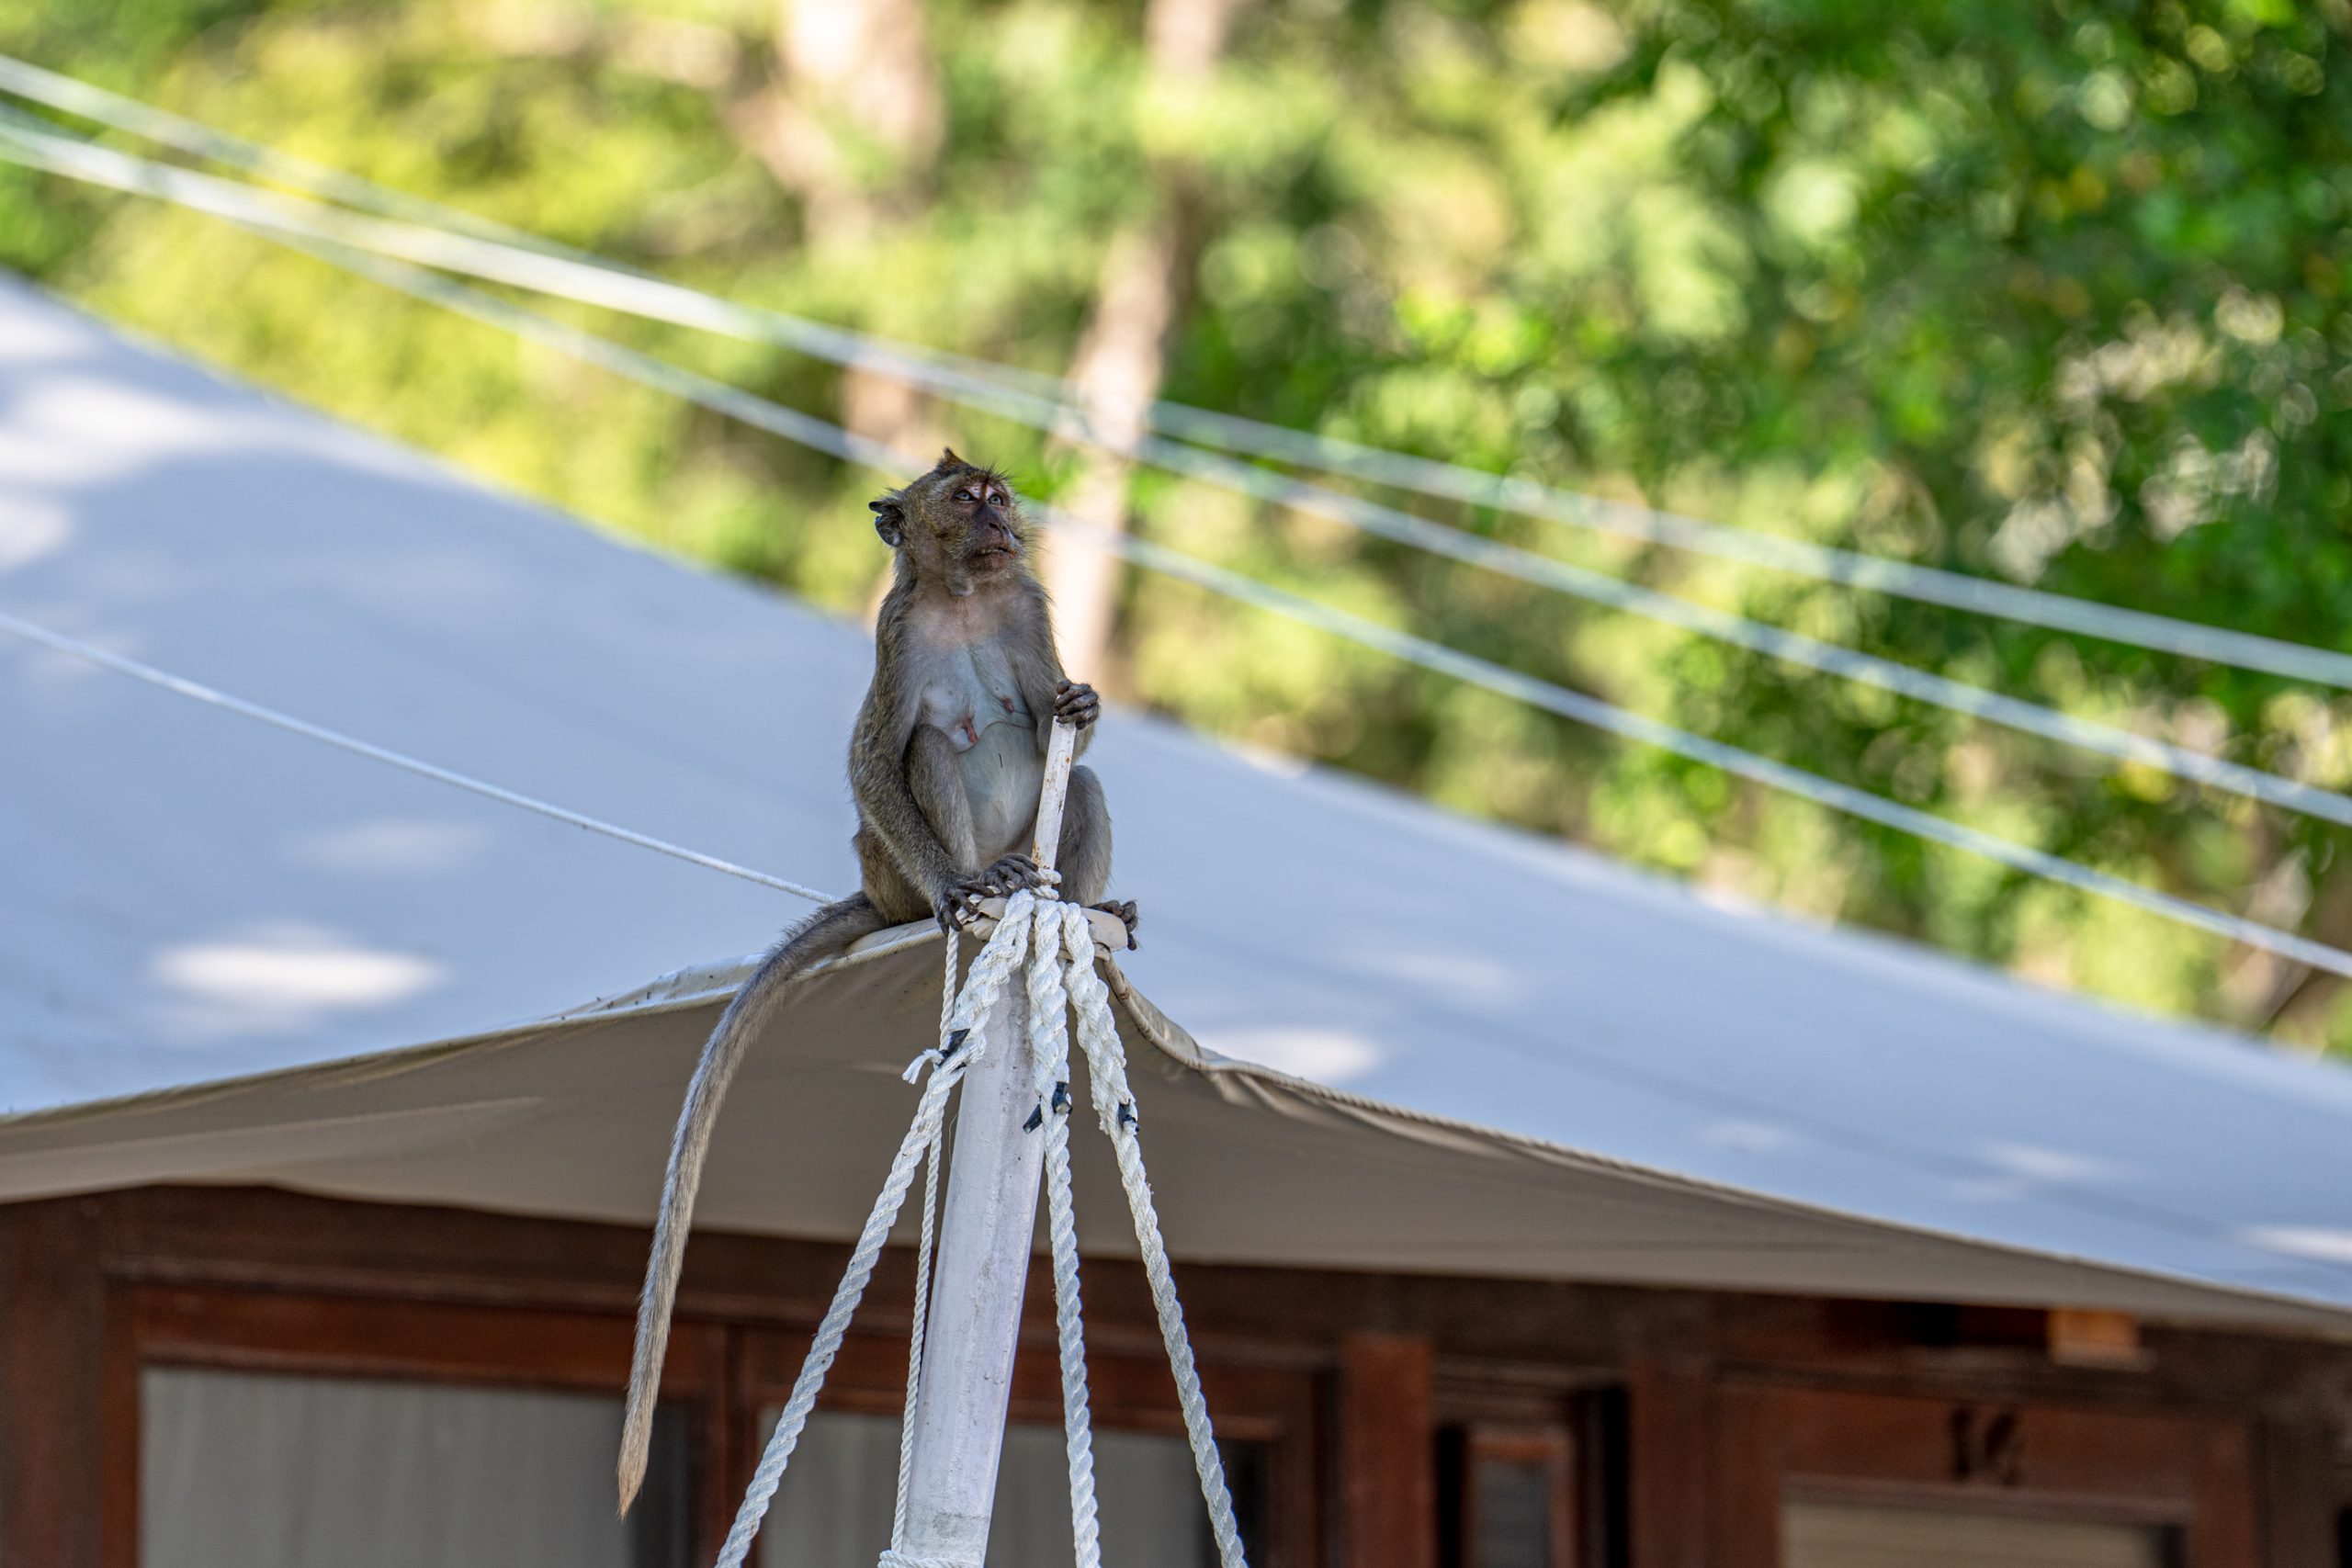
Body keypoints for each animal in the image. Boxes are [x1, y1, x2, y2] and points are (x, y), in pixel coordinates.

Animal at [617, 450, 1137, 1511]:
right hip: (885, 865)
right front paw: (954, 885)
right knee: (930, 749)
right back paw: (981, 886)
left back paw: (1082, 907)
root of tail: (874, 890)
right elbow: (873, 760)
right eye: (965, 498)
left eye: (996, 493)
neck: (967, 597)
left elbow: (1060, 724)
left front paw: (1084, 710)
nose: (1002, 518)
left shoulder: (1029, 608)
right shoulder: (894, 633)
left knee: (1078, 786)